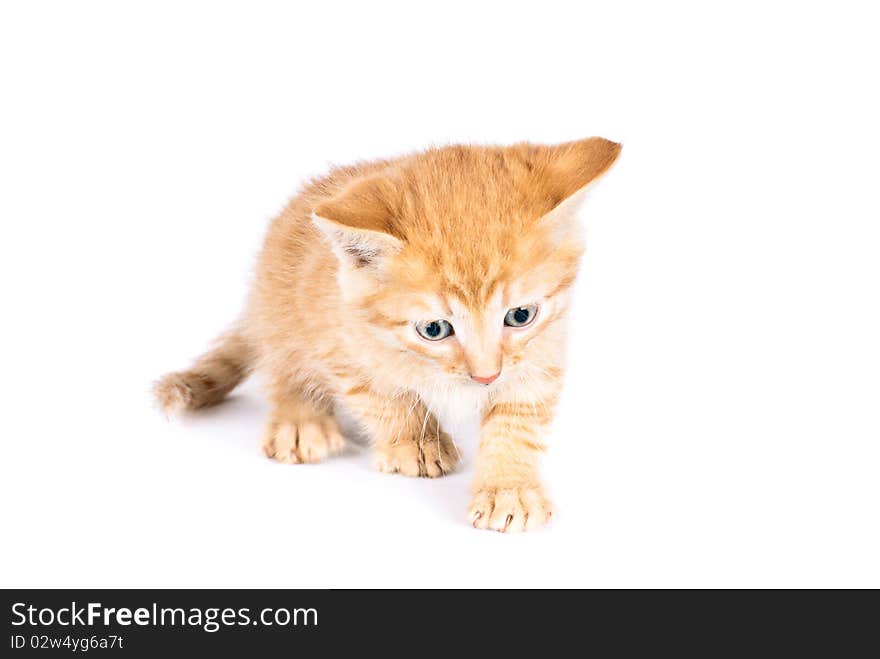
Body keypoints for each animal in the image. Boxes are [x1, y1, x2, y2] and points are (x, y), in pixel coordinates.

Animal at [155, 138, 624, 532]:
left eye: (520, 315)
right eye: (435, 329)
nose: (486, 377)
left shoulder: (542, 349)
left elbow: (519, 419)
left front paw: (508, 488)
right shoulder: (338, 337)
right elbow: (380, 396)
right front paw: (416, 442)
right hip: (278, 306)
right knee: (282, 359)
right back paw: (301, 420)